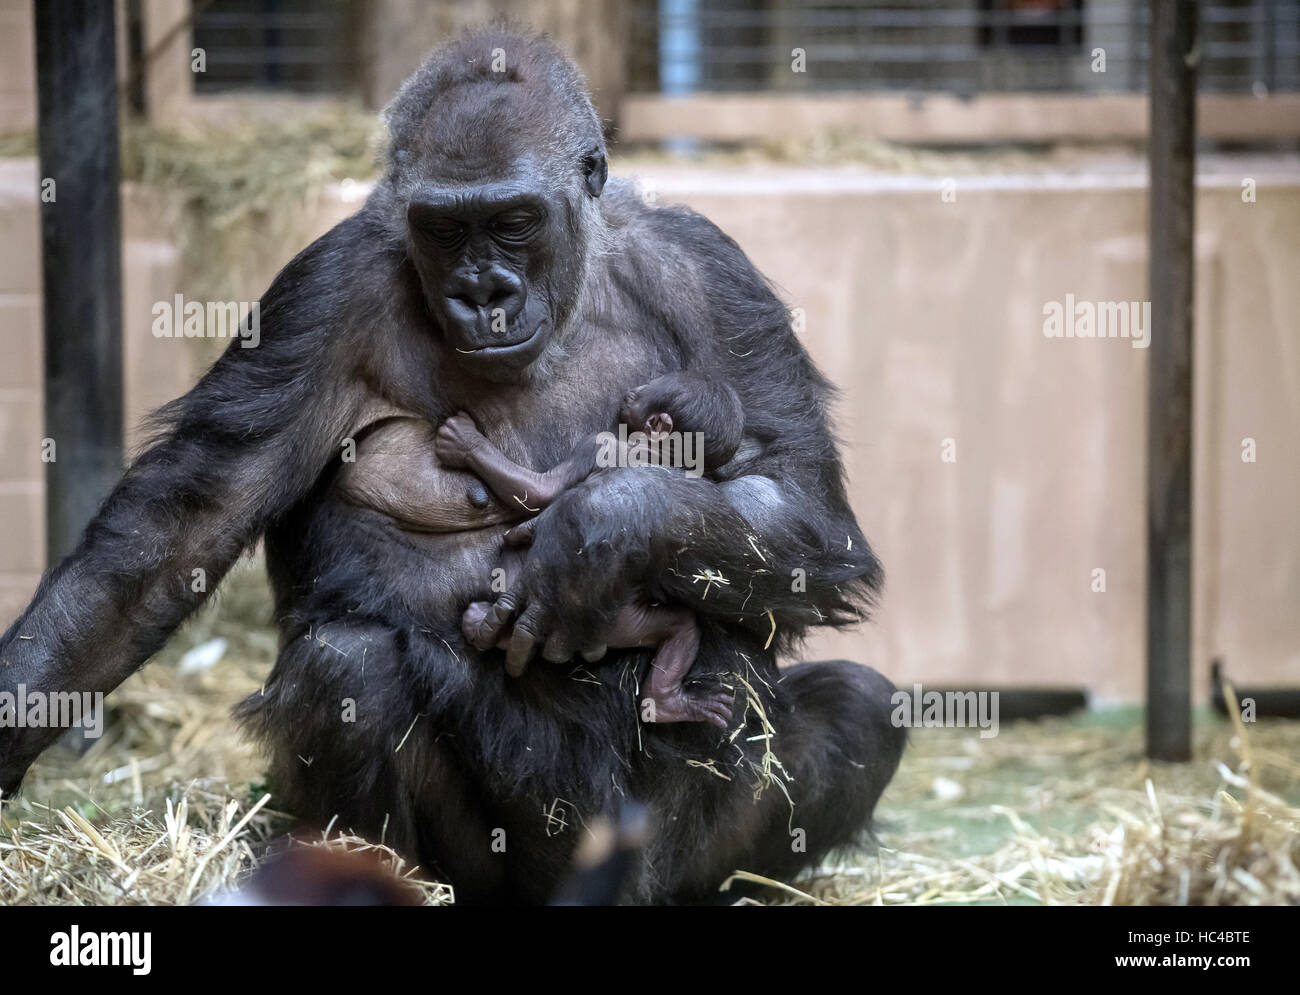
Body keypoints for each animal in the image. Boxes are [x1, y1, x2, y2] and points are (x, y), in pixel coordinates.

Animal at [436, 371, 743, 723]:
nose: (634, 390)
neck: (663, 453)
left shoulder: (597, 444)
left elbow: (539, 491)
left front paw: (464, 442)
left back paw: (481, 624)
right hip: (629, 624)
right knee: (683, 627)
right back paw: (668, 704)